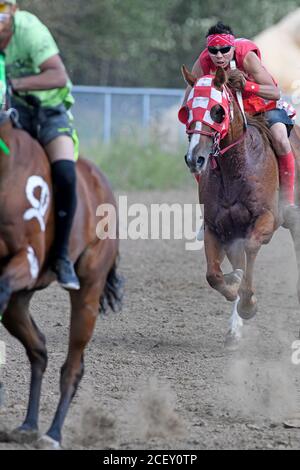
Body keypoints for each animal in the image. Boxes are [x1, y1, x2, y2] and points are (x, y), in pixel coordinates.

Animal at [0, 109, 123, 448]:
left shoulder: (26, 257)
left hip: (87, 295)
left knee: (73, 366)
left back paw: (52, 433)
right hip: (18, 304)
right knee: (38, 350)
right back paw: (28, 424)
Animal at [182, 66, 300, 344]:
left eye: (217, 111)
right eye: (188, 110)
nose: (195, 158)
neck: (235, 167)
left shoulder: (265, 218)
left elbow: (251, 249)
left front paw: (247, 304)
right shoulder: (218, 228)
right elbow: (214, 275)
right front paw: (234, 286)